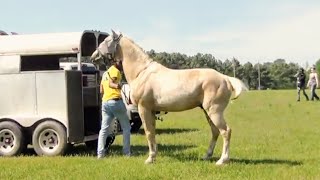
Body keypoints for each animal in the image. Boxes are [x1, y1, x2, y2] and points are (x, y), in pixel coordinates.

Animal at [90, 30, 248, 165]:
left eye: (106, 40)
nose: (93, 56)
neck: (141, 72)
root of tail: (225, 78)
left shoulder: (143, 109)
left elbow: (148, 132)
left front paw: (150, 159)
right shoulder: (151, 111)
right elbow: (153, 132)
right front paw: (154, 155)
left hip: (214, 111)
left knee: (226, 131)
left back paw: (222, 160)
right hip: (207, 111)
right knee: (215, 131)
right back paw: (207, 156)